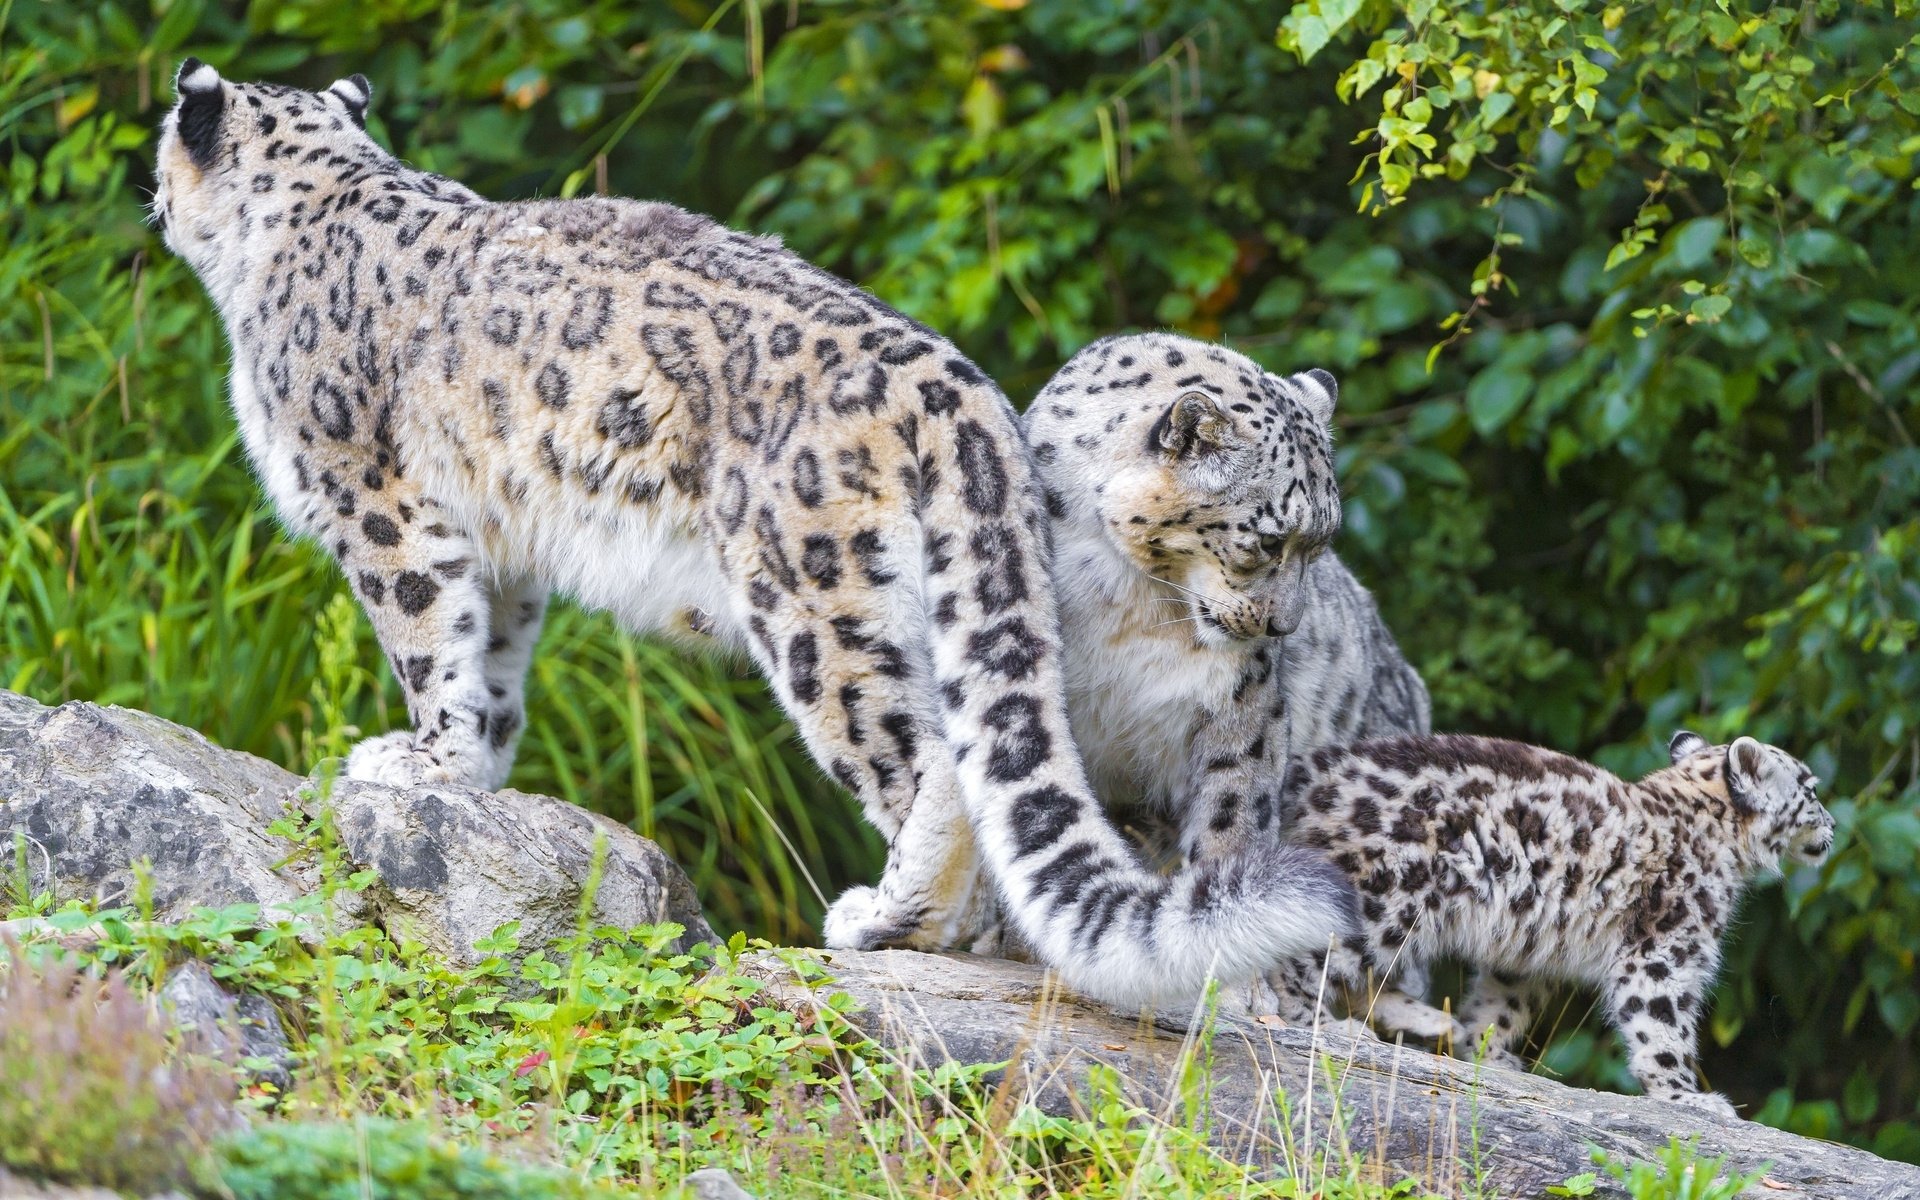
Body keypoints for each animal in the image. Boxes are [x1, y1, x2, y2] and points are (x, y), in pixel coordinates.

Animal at [151, 61, 1356, 1008]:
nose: (149, 199)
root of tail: (959, 389)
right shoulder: (504, 544)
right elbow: (491, 657)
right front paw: (477, 769)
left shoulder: (377, 501)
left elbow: (424, 634)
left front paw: (417, 762)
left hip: (813, 600)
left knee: (929, 760)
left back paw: (886, 920)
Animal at [1269, 729, 1834, 1116]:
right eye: (1810, 789)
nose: (1832, 824)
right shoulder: (1663, 951)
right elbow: (1661, 1025)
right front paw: (1688, 1098)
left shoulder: (1525, 955)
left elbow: (1500, 1005)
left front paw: (1486, 1054)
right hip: (1380, 901)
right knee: (1296, 961)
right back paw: (1317, 1024)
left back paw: (1428, 1022)